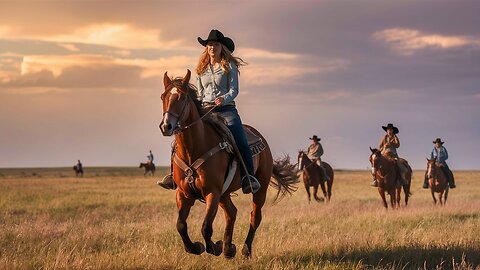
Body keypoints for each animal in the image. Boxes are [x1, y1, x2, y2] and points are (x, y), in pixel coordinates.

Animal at [159, 70, 298, 260]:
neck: (194, 148)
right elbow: (180, 224)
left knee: (255, 217)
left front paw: (214, 247)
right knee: (231, 213)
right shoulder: (184, 193)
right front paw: (195, 247)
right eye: (162, 97)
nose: (166, 126)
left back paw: (244, 250)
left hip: (259, 189)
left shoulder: (212, 192)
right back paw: (228, 248)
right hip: (224, 194)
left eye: (181, 97)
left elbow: (206, 227)